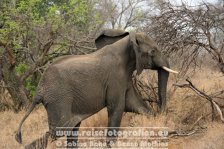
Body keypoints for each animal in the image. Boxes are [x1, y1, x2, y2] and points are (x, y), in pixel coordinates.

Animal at [14, 28, 178, 148]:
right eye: (153, 51)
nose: (163, 116)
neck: (127, 42)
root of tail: (39, 89)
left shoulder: (124, 77)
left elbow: (133, 104)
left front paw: (155, 118)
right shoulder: (115, 78)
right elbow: (118, 108)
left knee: (72, 127)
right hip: (58, 99)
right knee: (58, 131)